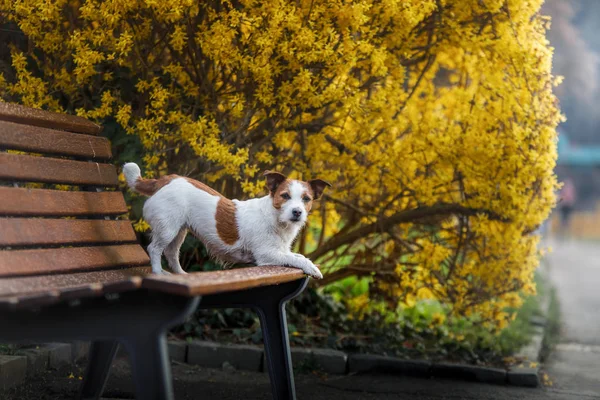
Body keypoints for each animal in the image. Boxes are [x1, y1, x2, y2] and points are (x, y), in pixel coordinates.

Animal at [121, 162, 328, 278]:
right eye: (285, 196)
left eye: (306, 199)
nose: (297, 212)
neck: (274, 218)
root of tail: (164, 180)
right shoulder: (266, 255)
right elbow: (295, 259)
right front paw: (312, 268)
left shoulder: (280, 250)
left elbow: (297, 256)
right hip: (167, 229)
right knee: (154, 249)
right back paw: (158, 273)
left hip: (179, 230)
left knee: (171, 253)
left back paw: (180, 275)